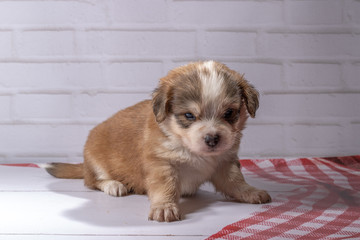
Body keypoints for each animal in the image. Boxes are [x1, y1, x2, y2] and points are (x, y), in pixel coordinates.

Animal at [45, 61, 270, 222]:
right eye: (189, 115)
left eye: (229, 113)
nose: (213, 138)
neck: (190, 150)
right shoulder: (162, 164)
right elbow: (165, 187)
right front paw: (164, 207)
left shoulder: (225, 163)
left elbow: (236, 182)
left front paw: (251, 192)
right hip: (95, 161)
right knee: (93, 181)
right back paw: (114, 185)